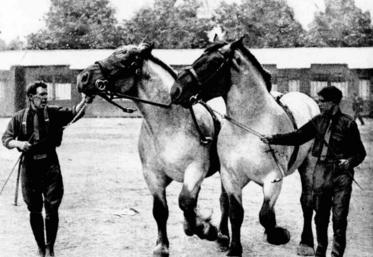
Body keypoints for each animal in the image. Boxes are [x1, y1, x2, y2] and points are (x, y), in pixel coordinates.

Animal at [75, 43, 230, 255]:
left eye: (124, 56)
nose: (82, 78)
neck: (169, 125)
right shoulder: (152, 175)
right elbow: (161, 210)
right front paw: (162, 246)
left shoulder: (196, 169)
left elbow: (185, 201)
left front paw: (207, 229)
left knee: (224, 200)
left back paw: (222, 236)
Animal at [171, 38, 320, 256]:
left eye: (214, 62)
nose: (175, 91)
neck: (250, 125)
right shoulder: (231, 177)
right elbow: (236, 213)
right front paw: (234, 248)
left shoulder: (273, 178)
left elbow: (265, 215)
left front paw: (279, 234)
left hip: (308, 164)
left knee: (306, 201)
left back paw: (306, 243)